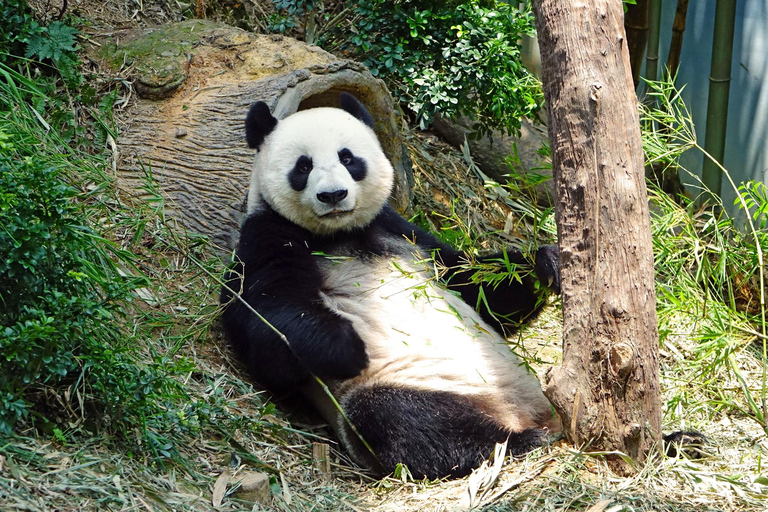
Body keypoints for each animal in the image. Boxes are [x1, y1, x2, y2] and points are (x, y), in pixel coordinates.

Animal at [220, 93, 562, 480]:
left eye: (348, 158)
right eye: (303, 166)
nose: (333, 195)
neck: (338, 234)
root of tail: (516, 412)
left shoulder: (402, 232)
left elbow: (477, 287)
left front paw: (546, 263)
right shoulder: (267, 234)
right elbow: (264, 320)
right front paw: (346, 348)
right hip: (412, 382)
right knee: (405, 420)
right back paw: (516, 442)